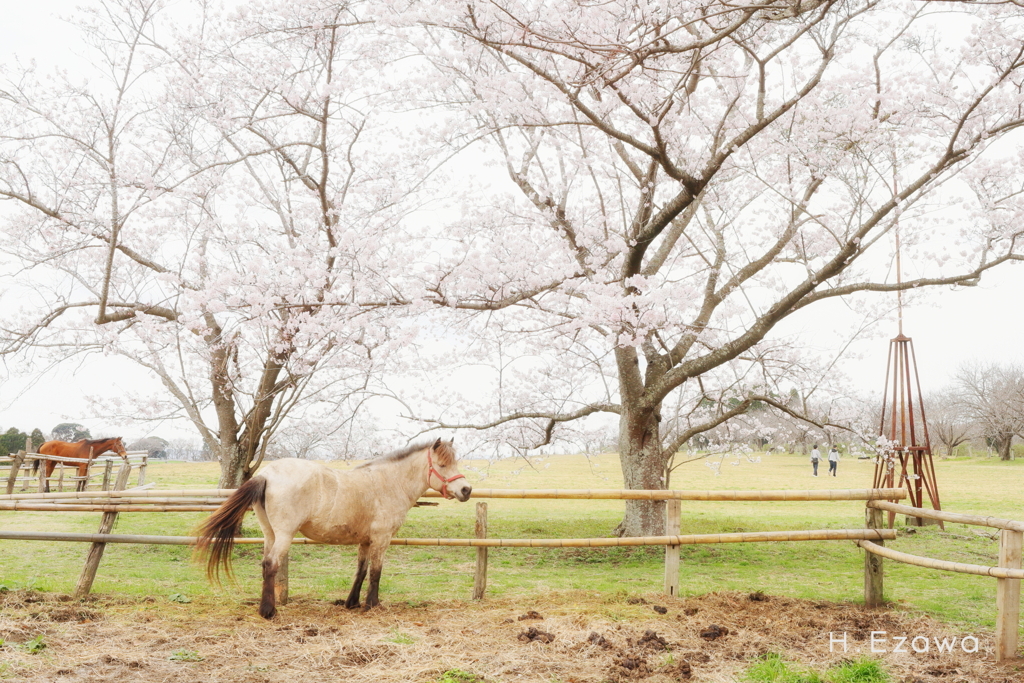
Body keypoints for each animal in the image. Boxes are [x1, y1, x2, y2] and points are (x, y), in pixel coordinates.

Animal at [195, 440, 471, 622]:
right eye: (442, 464)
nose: (466, 490)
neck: (388, 483)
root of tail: (266, 474)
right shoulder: (381, 539)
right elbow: (376, 572)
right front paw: (372, 605)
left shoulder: (365, 541)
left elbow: (361, 570)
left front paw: (352, 603)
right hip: (284, 535)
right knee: (272, 564)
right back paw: (269, 611)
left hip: (269, 534)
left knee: (264, 564)